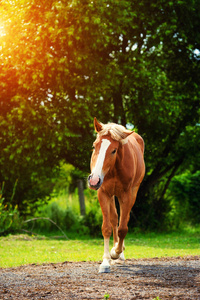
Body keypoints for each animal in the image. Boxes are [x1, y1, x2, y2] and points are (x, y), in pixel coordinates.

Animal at [88, 118, 145, 274]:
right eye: (94, 146)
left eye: (114, 150)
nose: (94, 180)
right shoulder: (103, 193)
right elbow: (107, 227)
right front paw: (105, 261)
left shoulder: (126, 194)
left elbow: (123, 228)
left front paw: (115, 252)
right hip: (111, 195)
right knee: (114, 219)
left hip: (132, 192)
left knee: (124, 220)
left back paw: (119, 253)